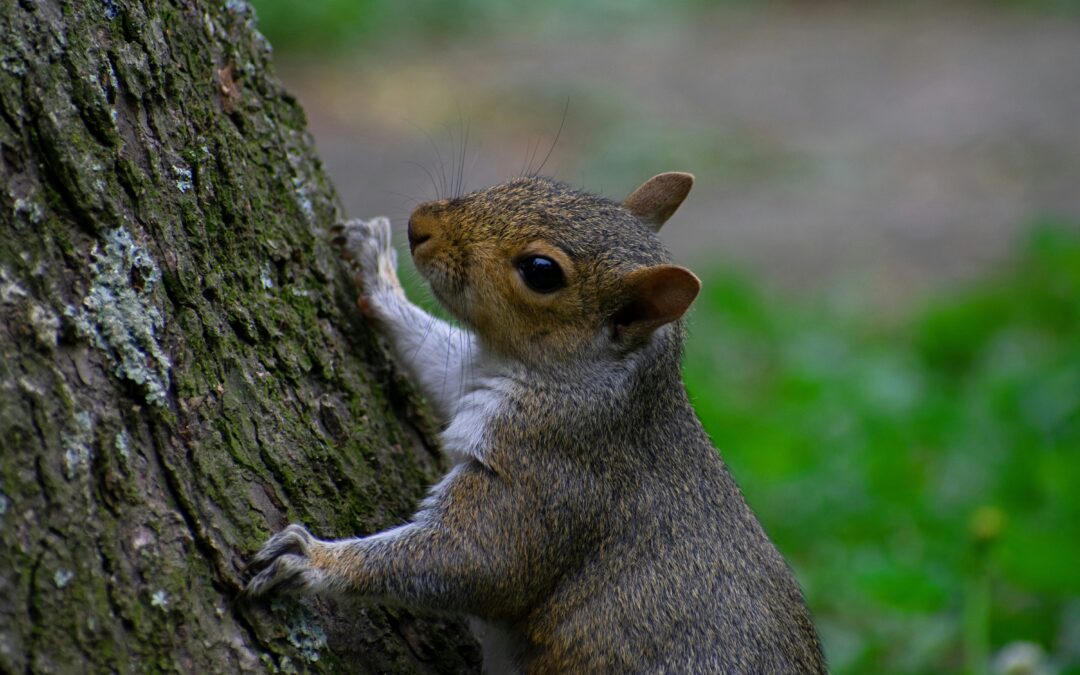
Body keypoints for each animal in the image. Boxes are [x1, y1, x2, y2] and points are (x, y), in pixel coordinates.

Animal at [243, 172, 827, 674]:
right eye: (533, 183)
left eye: (541, 272)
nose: (419, 224)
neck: (582, 382)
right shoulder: (476, 379)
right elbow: (437, 357)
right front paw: (376, 272)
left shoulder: (551, 480)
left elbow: (473, 562)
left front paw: (313, 560)